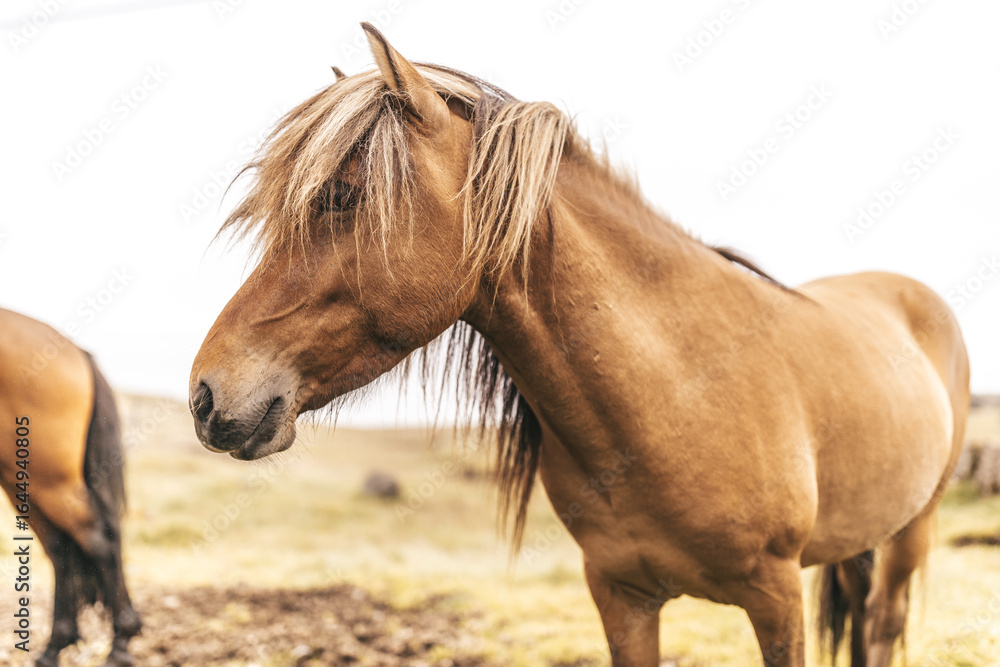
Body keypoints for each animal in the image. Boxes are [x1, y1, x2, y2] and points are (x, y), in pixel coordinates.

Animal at [0, 308, 140, 666]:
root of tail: (77, 352)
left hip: (49, 478)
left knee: (96, 541)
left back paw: (121, 641)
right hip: (22, 479)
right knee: (62, 548)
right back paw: (55, 646)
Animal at [188, 24, 969, 666]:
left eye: (342, 196)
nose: (205, 395)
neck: (678, 389)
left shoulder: (777, 597)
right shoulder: (622, 597)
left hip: (914, 530)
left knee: (883, 623)